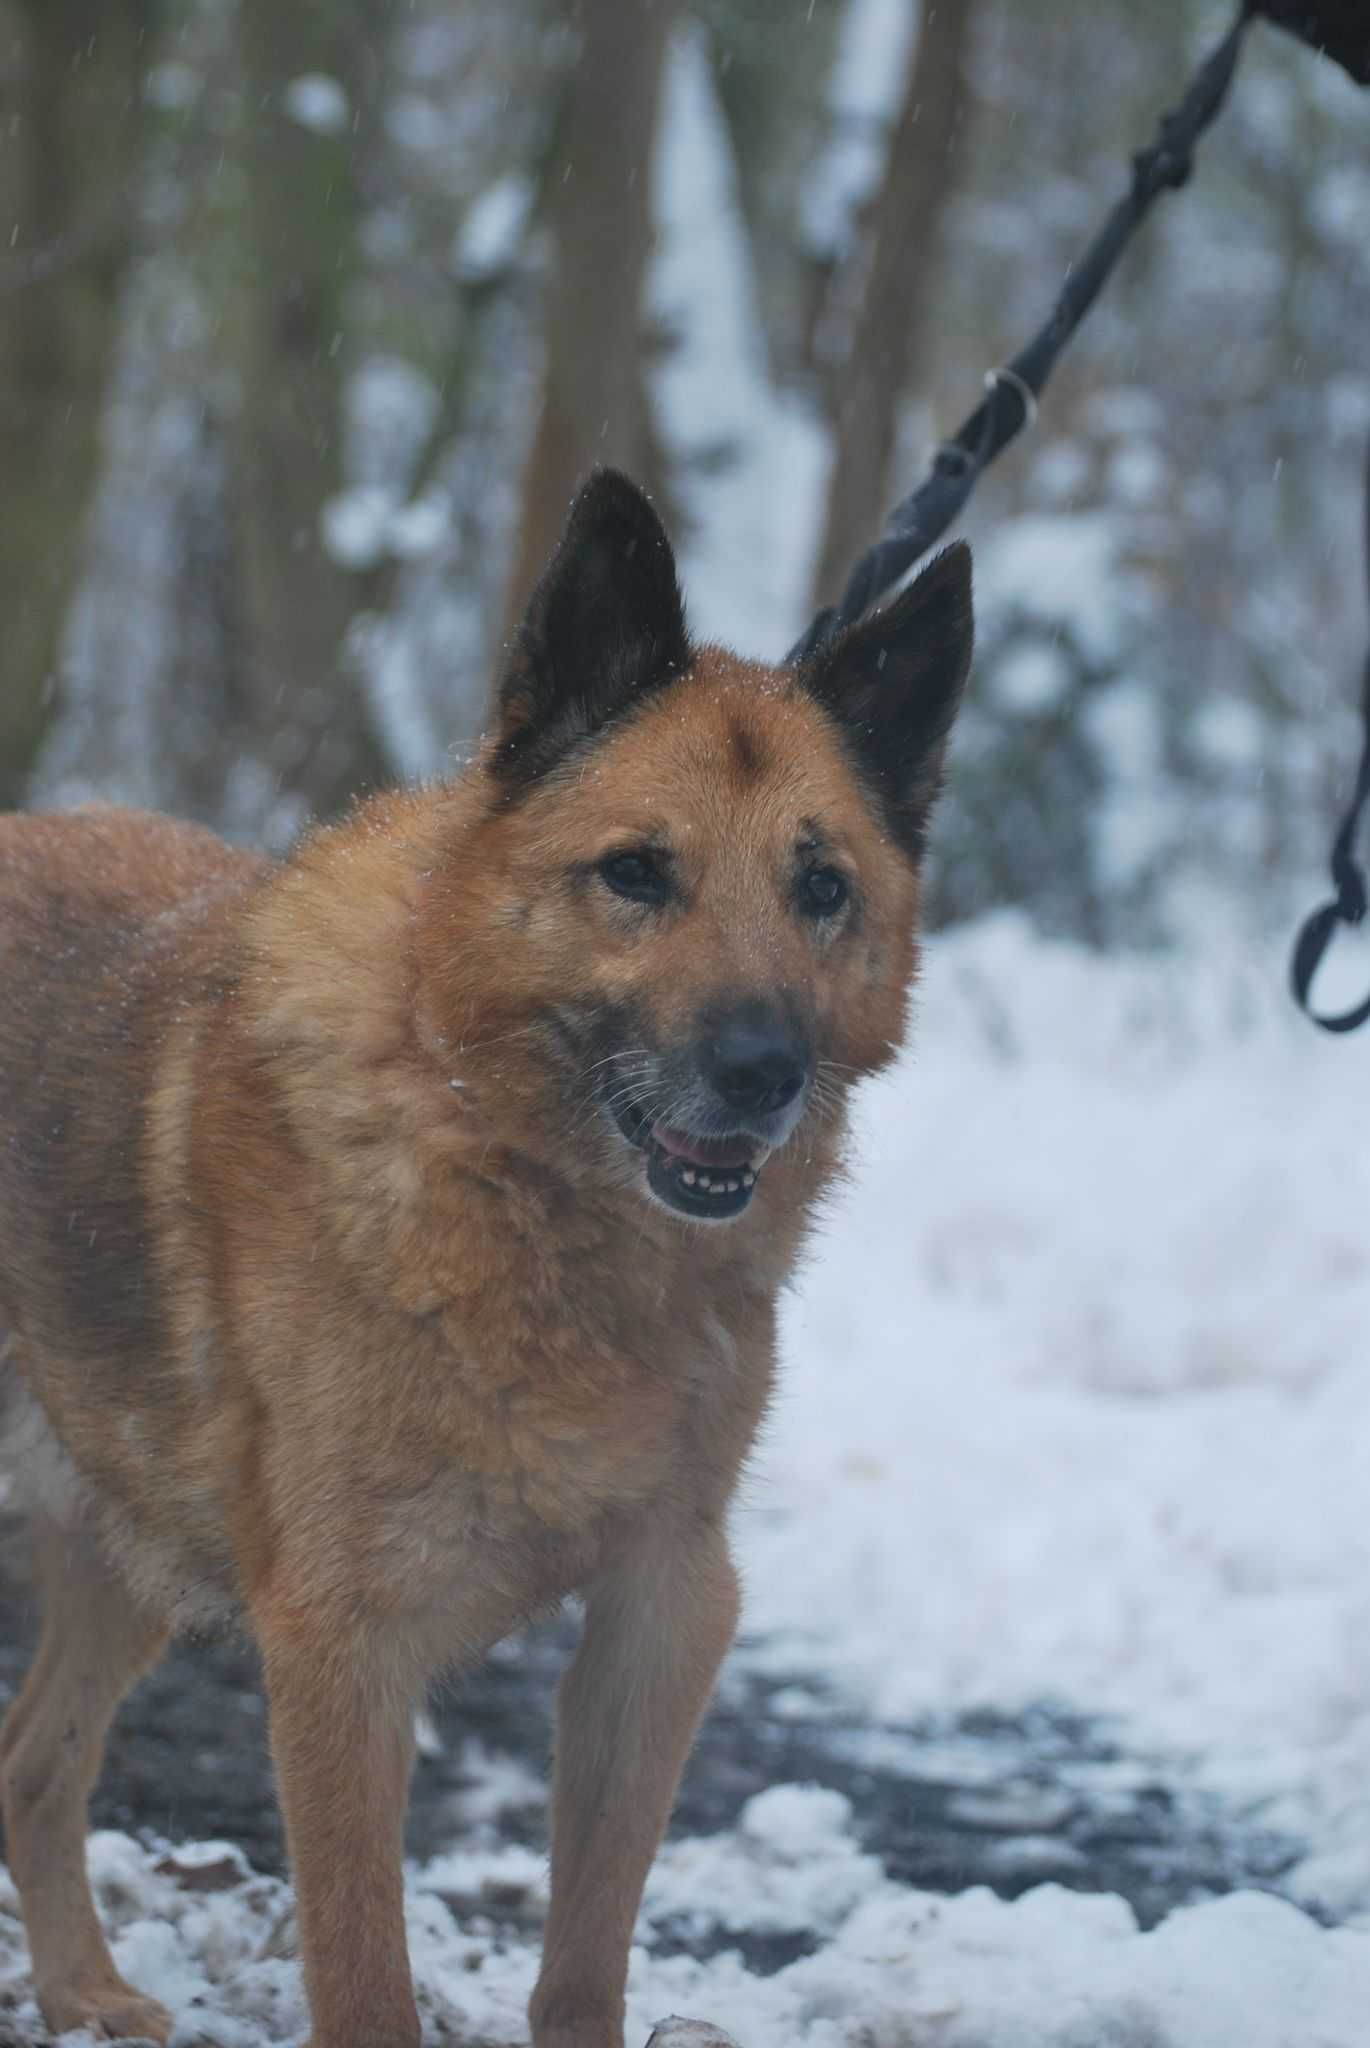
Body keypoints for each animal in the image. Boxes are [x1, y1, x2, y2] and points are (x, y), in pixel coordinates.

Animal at [0, 471, 970, 2039]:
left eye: (820, 888)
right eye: (635, 873)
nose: (762, 1072)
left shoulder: (661, 1611)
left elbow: (583, 1959)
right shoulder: (339, 1646)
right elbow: (363, 1976)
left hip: (124, 1538)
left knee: (32, 1758)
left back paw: (85, 1990)